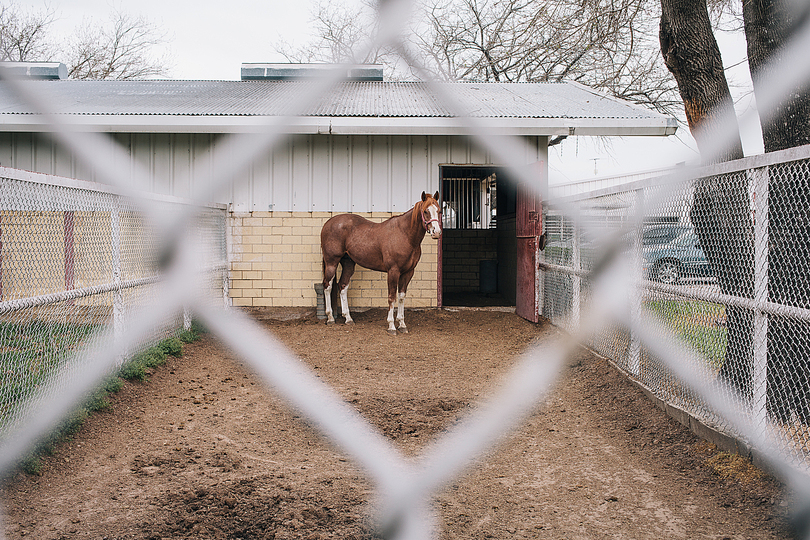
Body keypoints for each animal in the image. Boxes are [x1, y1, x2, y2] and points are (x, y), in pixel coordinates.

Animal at [318, 190, 438, 334]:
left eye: (439, 210)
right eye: (425, 211)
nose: (436, 232)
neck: (404, 235)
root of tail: (328, 223)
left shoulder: (408, 272)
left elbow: (401, 297)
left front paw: (402, 324)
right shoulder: (393, 271)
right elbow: (392, 297)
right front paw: (391, 326)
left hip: (348, 263)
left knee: (342, 286)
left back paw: (348, 318)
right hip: (332, 262)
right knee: (327, 286)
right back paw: (330, 318)